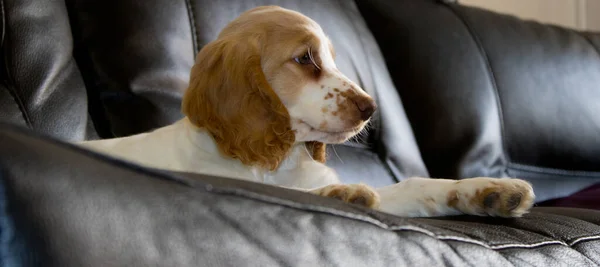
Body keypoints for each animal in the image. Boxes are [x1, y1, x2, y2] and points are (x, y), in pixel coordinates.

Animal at [81, 6, 536, 219]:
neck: (275, 161)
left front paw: (490, 190)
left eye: (331, 58)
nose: (371, 108)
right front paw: (340, 194)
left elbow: (416, 185)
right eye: (305, 59)